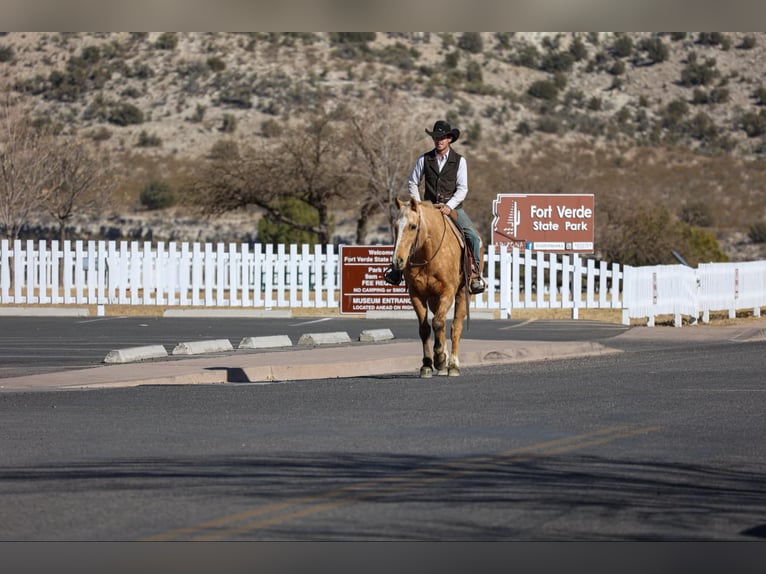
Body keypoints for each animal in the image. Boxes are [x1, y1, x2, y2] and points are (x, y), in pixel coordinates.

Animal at [391, 197, 470, 378]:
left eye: (413, 226)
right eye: (395, 226)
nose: (397, 261)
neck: (427, 254)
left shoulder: (447, 292)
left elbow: (438, 323)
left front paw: (440, 358)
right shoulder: (416, 295)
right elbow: (425, 328)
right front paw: (427, 364)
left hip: (461, 293)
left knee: (455, 326)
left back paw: (452, 365)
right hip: (434, 300)